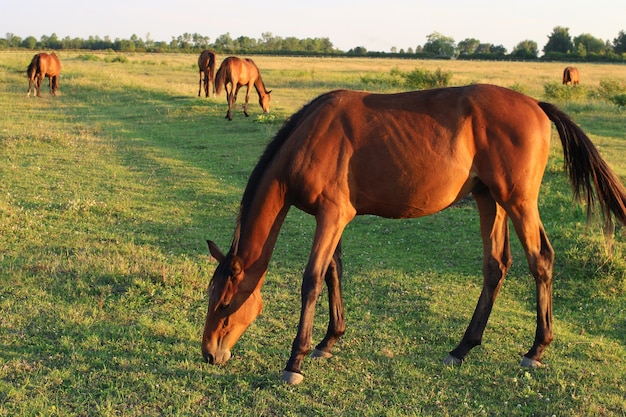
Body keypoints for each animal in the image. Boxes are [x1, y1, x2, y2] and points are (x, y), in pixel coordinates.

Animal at [200, 83, 624, 384]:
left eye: (225, 304)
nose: (208, 353)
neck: (310, 138)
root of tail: (535, 104)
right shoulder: (335, 218)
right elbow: (335, 272)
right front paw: (329, 341)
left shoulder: (332, 216)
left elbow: (312, 280)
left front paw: (296, 361)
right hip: (490, 200)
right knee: (496, 266)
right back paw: (462, 348)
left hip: (518, 201)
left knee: (541, 261)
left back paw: (536, 349)